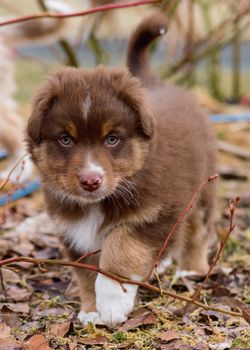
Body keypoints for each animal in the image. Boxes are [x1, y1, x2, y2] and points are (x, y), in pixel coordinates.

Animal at [25, 13, 217, 326]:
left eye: (112, 139)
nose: (90, 180)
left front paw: (114, 301)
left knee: (198, 230)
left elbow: (121, 246)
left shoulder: (159, 212)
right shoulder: (74, 231)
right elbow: (86, 272)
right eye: (65, 139)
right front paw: (92, 310)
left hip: (203, 188)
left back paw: (191, 269)